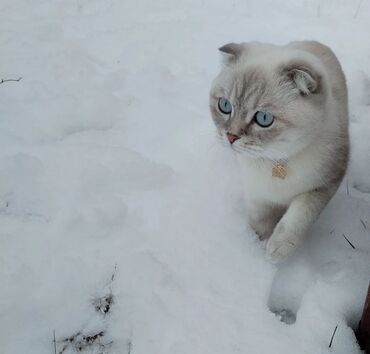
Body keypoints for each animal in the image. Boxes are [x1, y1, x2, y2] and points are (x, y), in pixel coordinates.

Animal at [210, 41, 348, 262]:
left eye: (264, 119)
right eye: (224, 106)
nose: (230, 137)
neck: (274, 160)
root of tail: (312, 41)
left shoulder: (324, 184)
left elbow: (298, 216)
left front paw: (276, 250)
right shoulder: (258, 195)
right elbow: (260, 222)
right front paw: (258, 246)